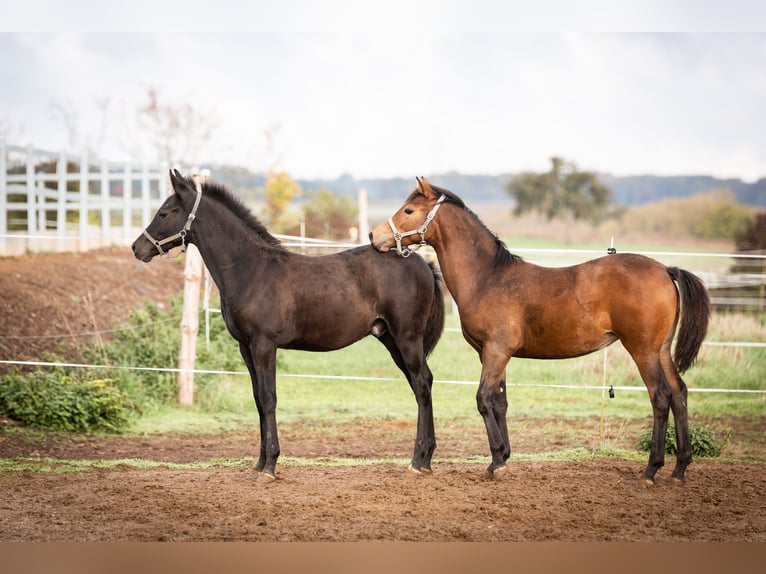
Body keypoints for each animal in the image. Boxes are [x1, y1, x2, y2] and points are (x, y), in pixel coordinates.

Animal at [131, 170, 444, 482]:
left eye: (165, 212)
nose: (137, 248)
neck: (252, 270)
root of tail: (423, 262)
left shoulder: (264, 345)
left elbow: (269, 398)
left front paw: (270, 467)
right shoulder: (246, 347)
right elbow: (258, 400)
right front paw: (259, 463)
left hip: (407, 338)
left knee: (421, 385)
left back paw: (418, 460)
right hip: (391, 339)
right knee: (423, 383)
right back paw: (426, 458)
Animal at [372, 179, 712, 486]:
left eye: (409, 210)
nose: (375, 236)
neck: (488, 277)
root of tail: (665, 270)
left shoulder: (496, 351)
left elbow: (483, 399)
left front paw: (496, 462)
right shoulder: (494, 354)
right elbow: (500, 402)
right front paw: (503, 455)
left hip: (642, 350)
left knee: (661, 397)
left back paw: (651, 470)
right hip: (661, 350)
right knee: (679, 393)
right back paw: (680, 469)